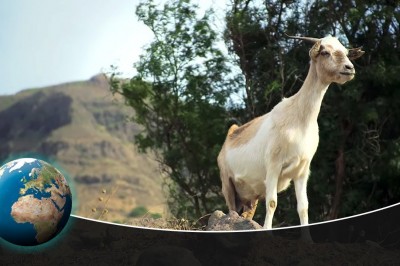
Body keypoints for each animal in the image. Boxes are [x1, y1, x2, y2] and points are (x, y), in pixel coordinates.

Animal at [217, 34, 364, 229]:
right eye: (325, 52)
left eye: (346, 52)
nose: (350, 68)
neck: (299, 121)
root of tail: (230, 135)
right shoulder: (273, 166)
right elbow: (272, 202)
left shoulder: (302, 171)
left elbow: (303, 207)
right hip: (228, 184)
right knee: (232, 210)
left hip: (250, 197)